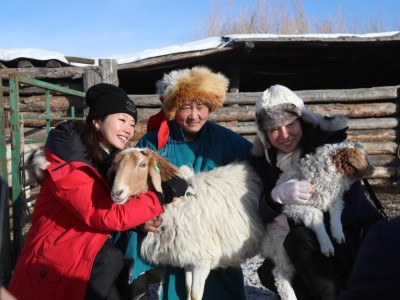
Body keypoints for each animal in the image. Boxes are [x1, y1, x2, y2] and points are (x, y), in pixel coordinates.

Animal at [110, 147, 266, 300]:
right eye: (115, 164)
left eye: (142, 165)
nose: (116, 193)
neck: (177, 203)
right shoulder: (189, 258)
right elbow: (188, 290)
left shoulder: (202, 261)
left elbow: (195, 295)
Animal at [260, 141, 374, 300]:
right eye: (363, 157)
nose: (373, 168)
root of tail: (265, 244)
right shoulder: (294, 206)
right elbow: (317, 215)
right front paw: (326, 245)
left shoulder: (334, 198)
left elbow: (336, 212)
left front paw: (338, 234)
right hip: (279, 246)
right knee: (280, 274)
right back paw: (289, 296)